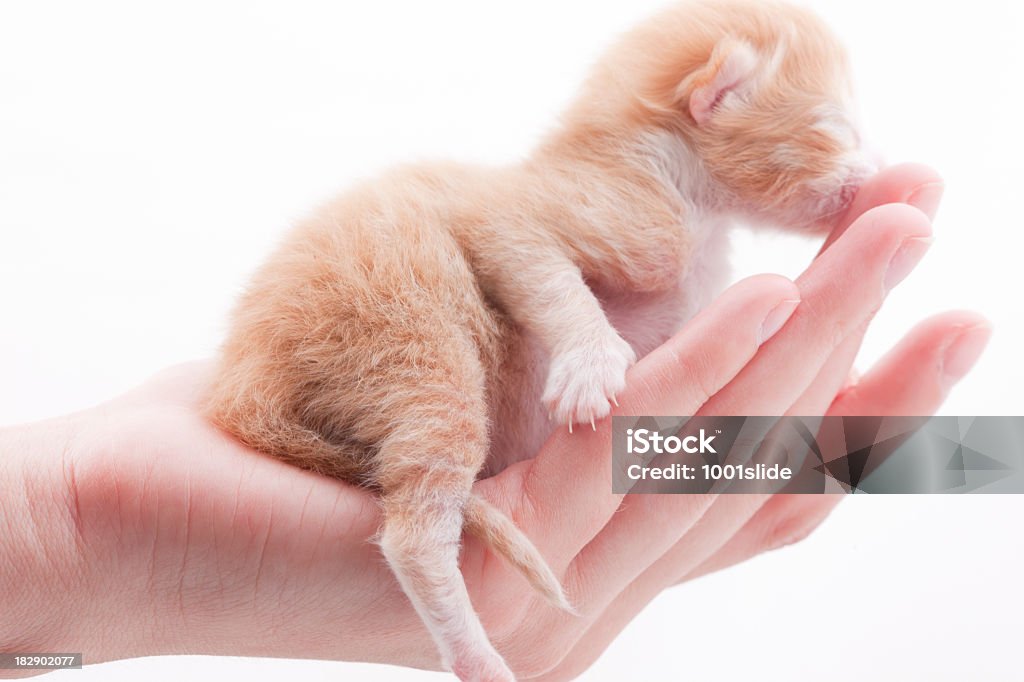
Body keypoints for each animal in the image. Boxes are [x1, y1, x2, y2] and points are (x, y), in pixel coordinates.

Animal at [205, 2, 872, 675]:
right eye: (836, 128)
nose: (872, 175)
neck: (688, 189)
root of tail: (244, 379)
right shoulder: (612, 217)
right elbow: (543, 271)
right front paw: (590, 363)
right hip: (403, 329)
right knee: (416, 527)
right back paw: (476, 655)